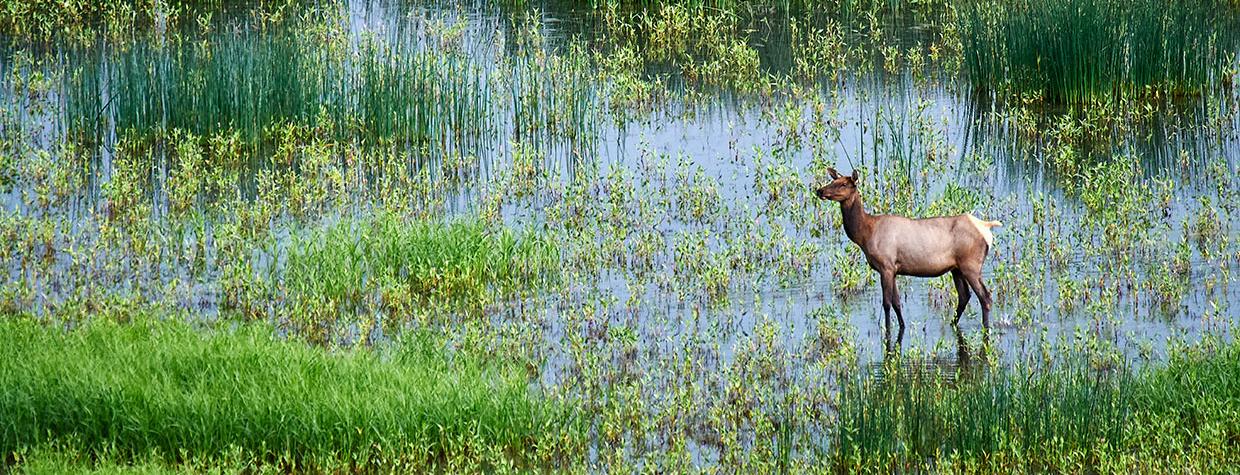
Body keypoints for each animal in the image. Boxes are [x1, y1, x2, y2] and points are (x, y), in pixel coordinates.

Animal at [818, 168, 1001, 329]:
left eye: (843, 184)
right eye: (833, 181)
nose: (819, 190)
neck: (865, 234)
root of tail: (986, 227)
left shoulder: (886, 266)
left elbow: (886, 303)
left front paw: (887, 330)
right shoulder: (893, 269)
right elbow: (897, 303)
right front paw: (902, 325)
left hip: (971, 264)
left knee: (985, 297)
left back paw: (985, 327)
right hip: (956, 268)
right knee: (964, 296)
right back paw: (953, 323)